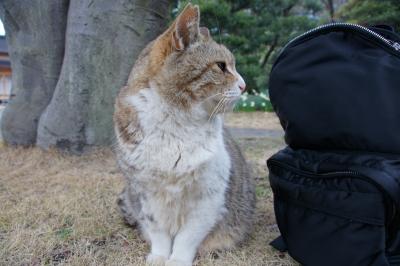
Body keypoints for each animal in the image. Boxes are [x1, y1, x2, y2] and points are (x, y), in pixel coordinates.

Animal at [114, 4, 255, 266]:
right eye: (221, 66)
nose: (244, 85)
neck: (176, 122)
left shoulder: (208, 197)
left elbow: (187, 236)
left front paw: (177, 259)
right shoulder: (146, 194)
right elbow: (158, 231)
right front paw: (159, 256)